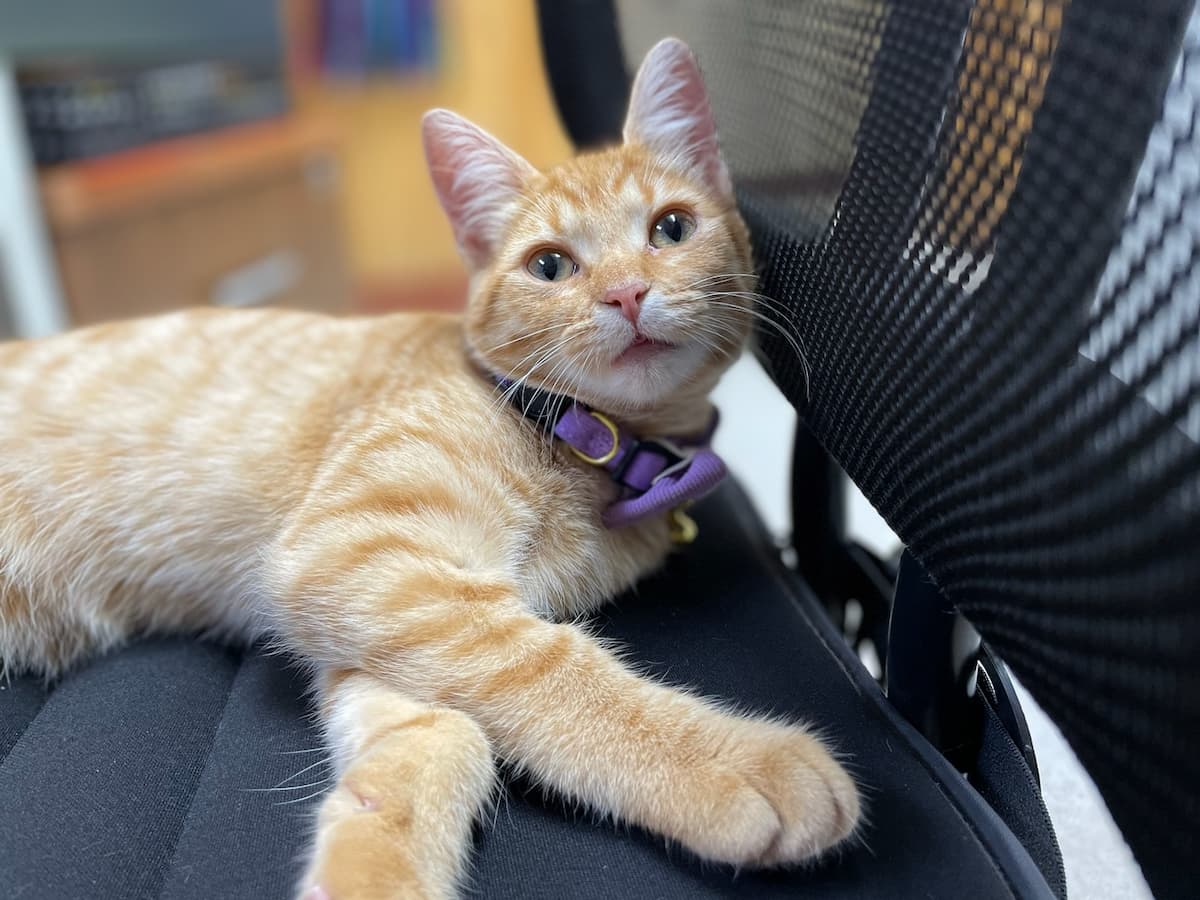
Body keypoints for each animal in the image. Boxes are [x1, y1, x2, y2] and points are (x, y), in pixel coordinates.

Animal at [2, 40, 864, 900]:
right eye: (550, 267)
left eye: (672, 228)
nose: (626, 292)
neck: (572, 436)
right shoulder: (359, 551)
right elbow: (544, 666)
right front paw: (735, 763)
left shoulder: (389, 613)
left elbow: (444, 730)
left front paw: (373, 863)